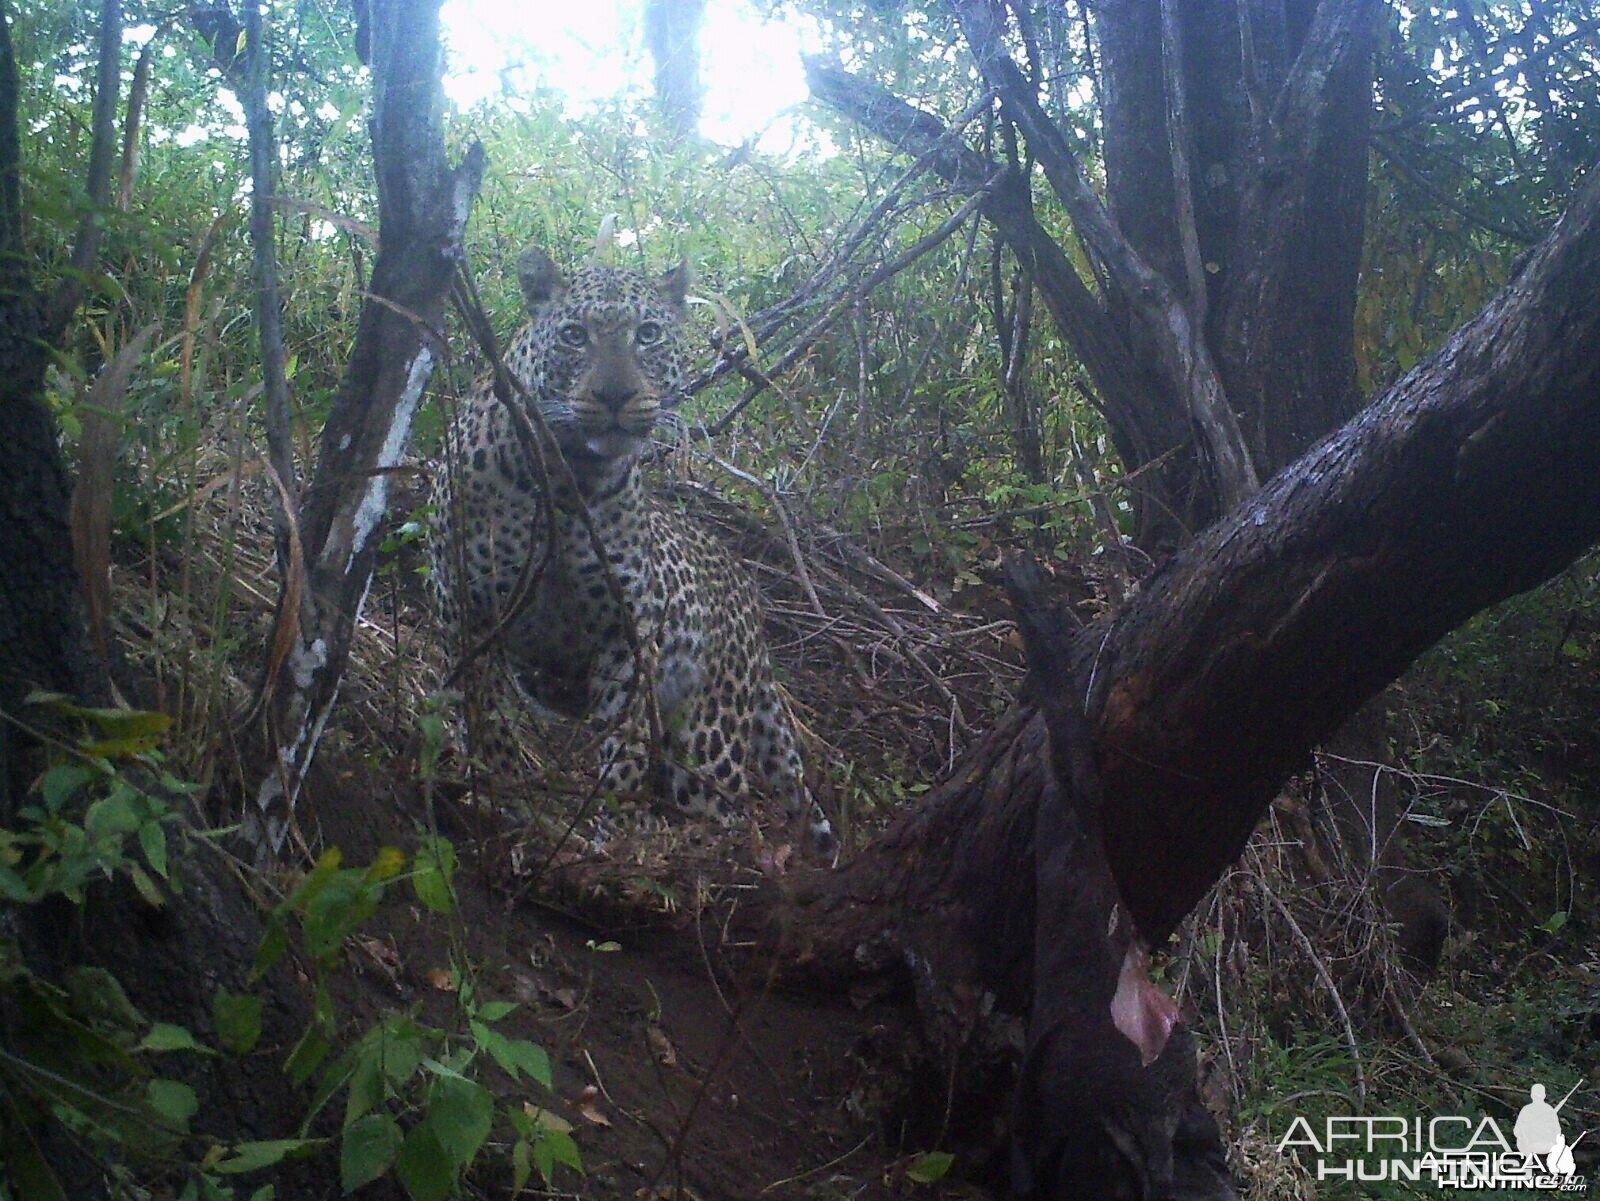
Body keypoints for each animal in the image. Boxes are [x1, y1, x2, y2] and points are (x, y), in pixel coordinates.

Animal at [432, 244, 832, 850]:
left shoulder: (628, 631)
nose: (616, 396)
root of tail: (748, 594)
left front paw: (613, 821)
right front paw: (499, 791)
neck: (568, 477)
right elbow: (487, 711)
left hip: (710, 728)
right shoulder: (468, 607)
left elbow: (624, 738)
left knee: (724, 805)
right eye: (574, 335)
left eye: (647, 334)